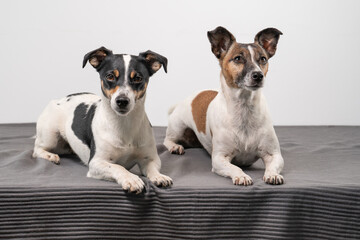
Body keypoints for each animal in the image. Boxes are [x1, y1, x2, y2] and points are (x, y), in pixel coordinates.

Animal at [33, 47, 173, 193]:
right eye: (110, 76)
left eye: (138, 78)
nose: (122, 101)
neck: (124, 124)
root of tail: (58, 99)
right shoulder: (96, 163)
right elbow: (118, 167)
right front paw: (131, 178)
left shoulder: (150, 158)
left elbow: (152, 168)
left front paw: (159, 176)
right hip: (50, 136)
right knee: (37, 150)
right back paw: (50, 156)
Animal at [163, 27, 284, 186]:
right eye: (238, 58)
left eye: (263, 59)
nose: (258, 75)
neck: (244, 108)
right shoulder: (219, 158)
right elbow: (235, 168)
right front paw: (242, 176)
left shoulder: (273, 154)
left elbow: (273, 165)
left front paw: (272, 174)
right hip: (178, 127)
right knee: (167, 140)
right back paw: (175, 146)